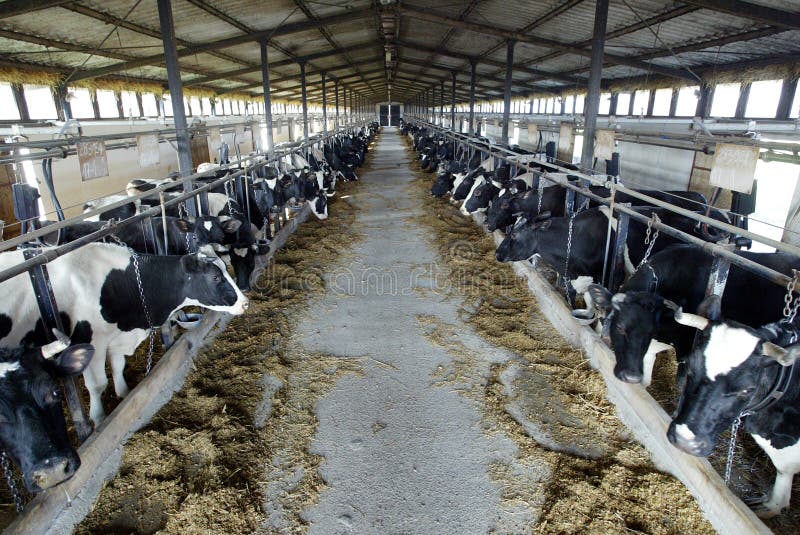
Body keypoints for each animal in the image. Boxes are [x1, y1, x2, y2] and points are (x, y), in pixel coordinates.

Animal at [0, 244, 248, 428]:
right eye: (216, 277)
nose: (245, 303)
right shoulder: (92, 341)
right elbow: (98, 384)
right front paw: (99, 418)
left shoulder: (118, 337)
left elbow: (118, 366)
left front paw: (125, 392)